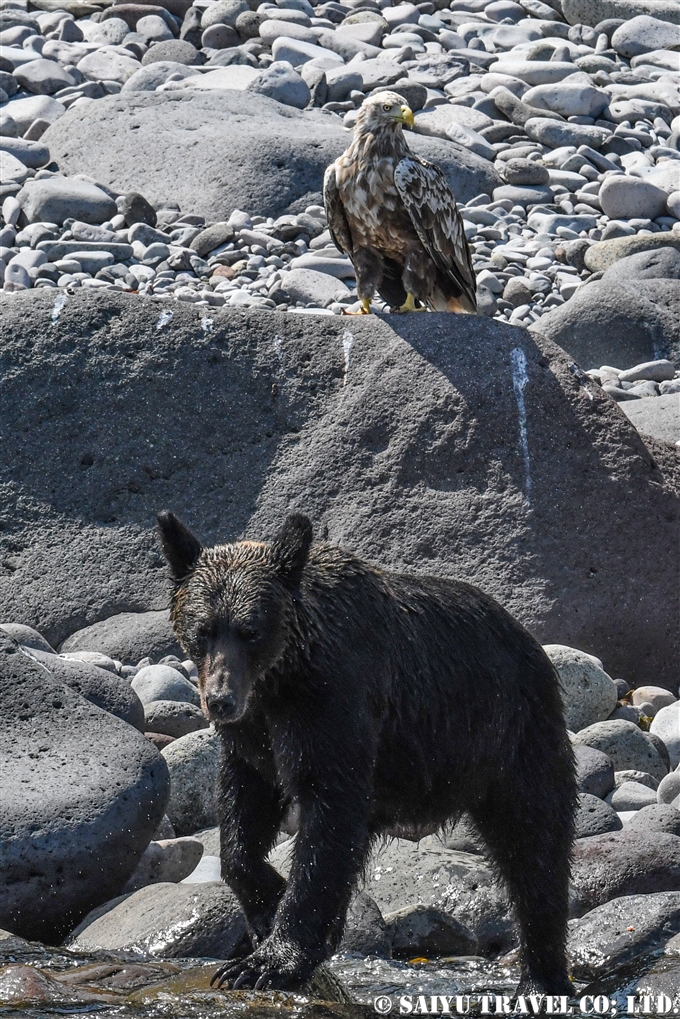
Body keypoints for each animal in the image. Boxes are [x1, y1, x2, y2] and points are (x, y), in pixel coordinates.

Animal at [157, 509, 579, 994]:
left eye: (251, 631)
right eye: (202, 630)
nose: (220, 700)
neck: (280, 680)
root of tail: (531, 642)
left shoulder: (334, 702)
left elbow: (327, 815)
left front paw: (268, 961)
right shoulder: (253, 734)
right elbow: (245, 807)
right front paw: (267, 906)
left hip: (511, 737)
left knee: (534, 848)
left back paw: (542, 979)